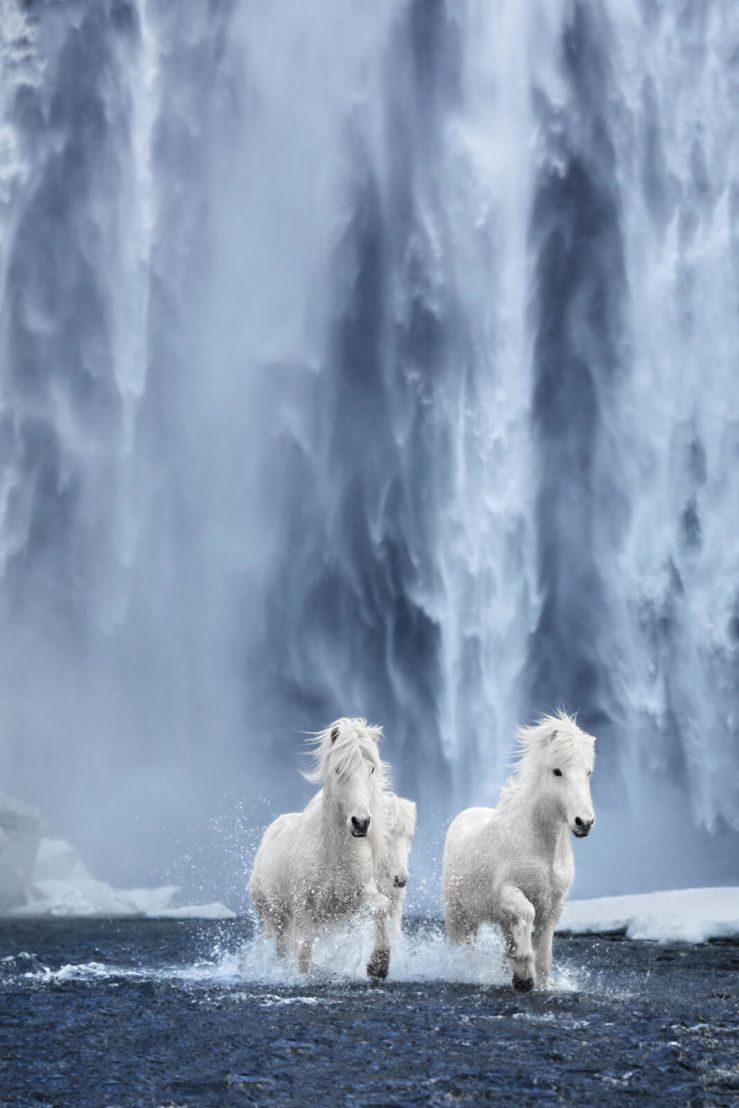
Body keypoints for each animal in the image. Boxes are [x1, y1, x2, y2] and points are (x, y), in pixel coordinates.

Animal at [249, 718, 394, 979]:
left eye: (371, 769)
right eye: (338, 769)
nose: (360, 822)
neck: (334, 855)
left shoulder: (353, 899)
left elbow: (382, 906)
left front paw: (378, 966)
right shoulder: (303, 907)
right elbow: (304, 953)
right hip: (274, 915)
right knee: (280, 946)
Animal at [442, 711, 596, 991]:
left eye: (588, 772)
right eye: (557, 771)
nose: (584, 822)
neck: (541, 848)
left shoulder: (553, 907)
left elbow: (545, 955)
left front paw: (536, 982)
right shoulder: (507, 892)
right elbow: (527, 912)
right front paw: (523, 972)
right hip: (458, 913)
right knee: (463, 945)